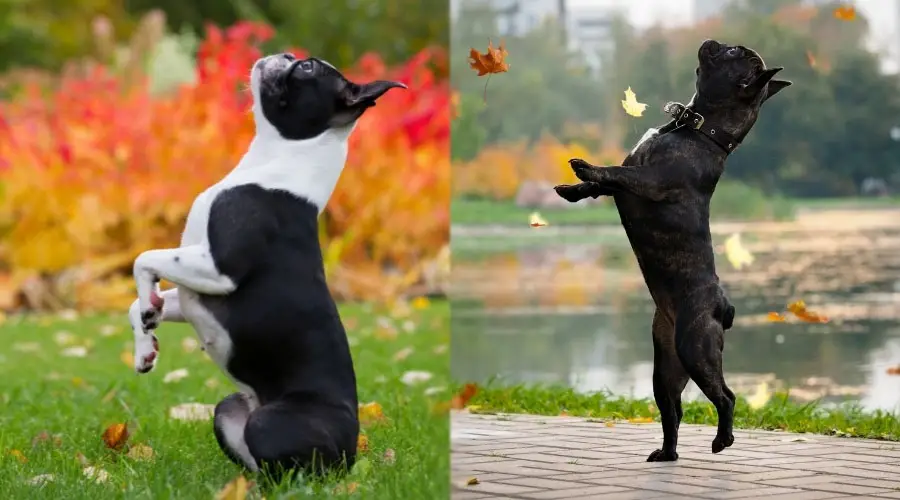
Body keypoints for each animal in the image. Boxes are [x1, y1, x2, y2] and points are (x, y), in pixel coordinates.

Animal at [125, 52, 406, 478]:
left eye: (307, 68)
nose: (286, 55)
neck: (275, 160)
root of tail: (351, 452)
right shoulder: (194, 287)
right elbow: (139, 301)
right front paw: (146, 337)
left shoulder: (218, 269)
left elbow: (144, 258)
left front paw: (146, 306)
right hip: (228, 409)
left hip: (271, 423)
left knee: (293, 470)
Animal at [552, 39, 792, 460]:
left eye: (733, 52)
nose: (714, 41)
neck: (697, 131)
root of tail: (723, 307)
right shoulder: (628, 184)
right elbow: (602, 184)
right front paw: (572, 190)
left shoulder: (648, 180)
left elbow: (615, 171)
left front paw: (585, 166)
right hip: (664, 368)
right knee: (673, 411)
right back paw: (667, 453)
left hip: (697, 349)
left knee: (726, 396)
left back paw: (722, 440)